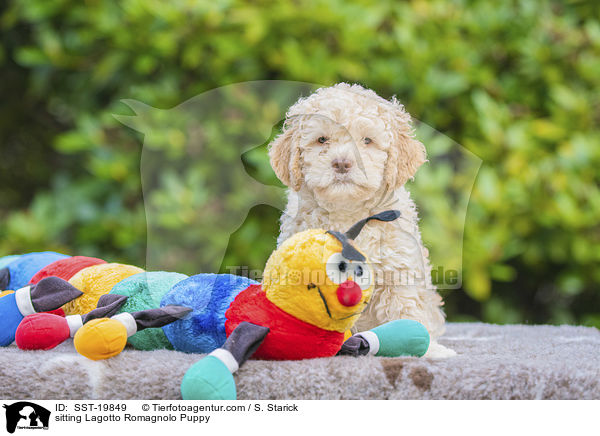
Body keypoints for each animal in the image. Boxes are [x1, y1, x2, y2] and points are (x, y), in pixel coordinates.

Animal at [268, 82, 454, 358]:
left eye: (367, 140)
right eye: (322, 140)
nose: (342, 163)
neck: (349, 213)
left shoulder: (399, 270)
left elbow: (406, 311)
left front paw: (427, 349)